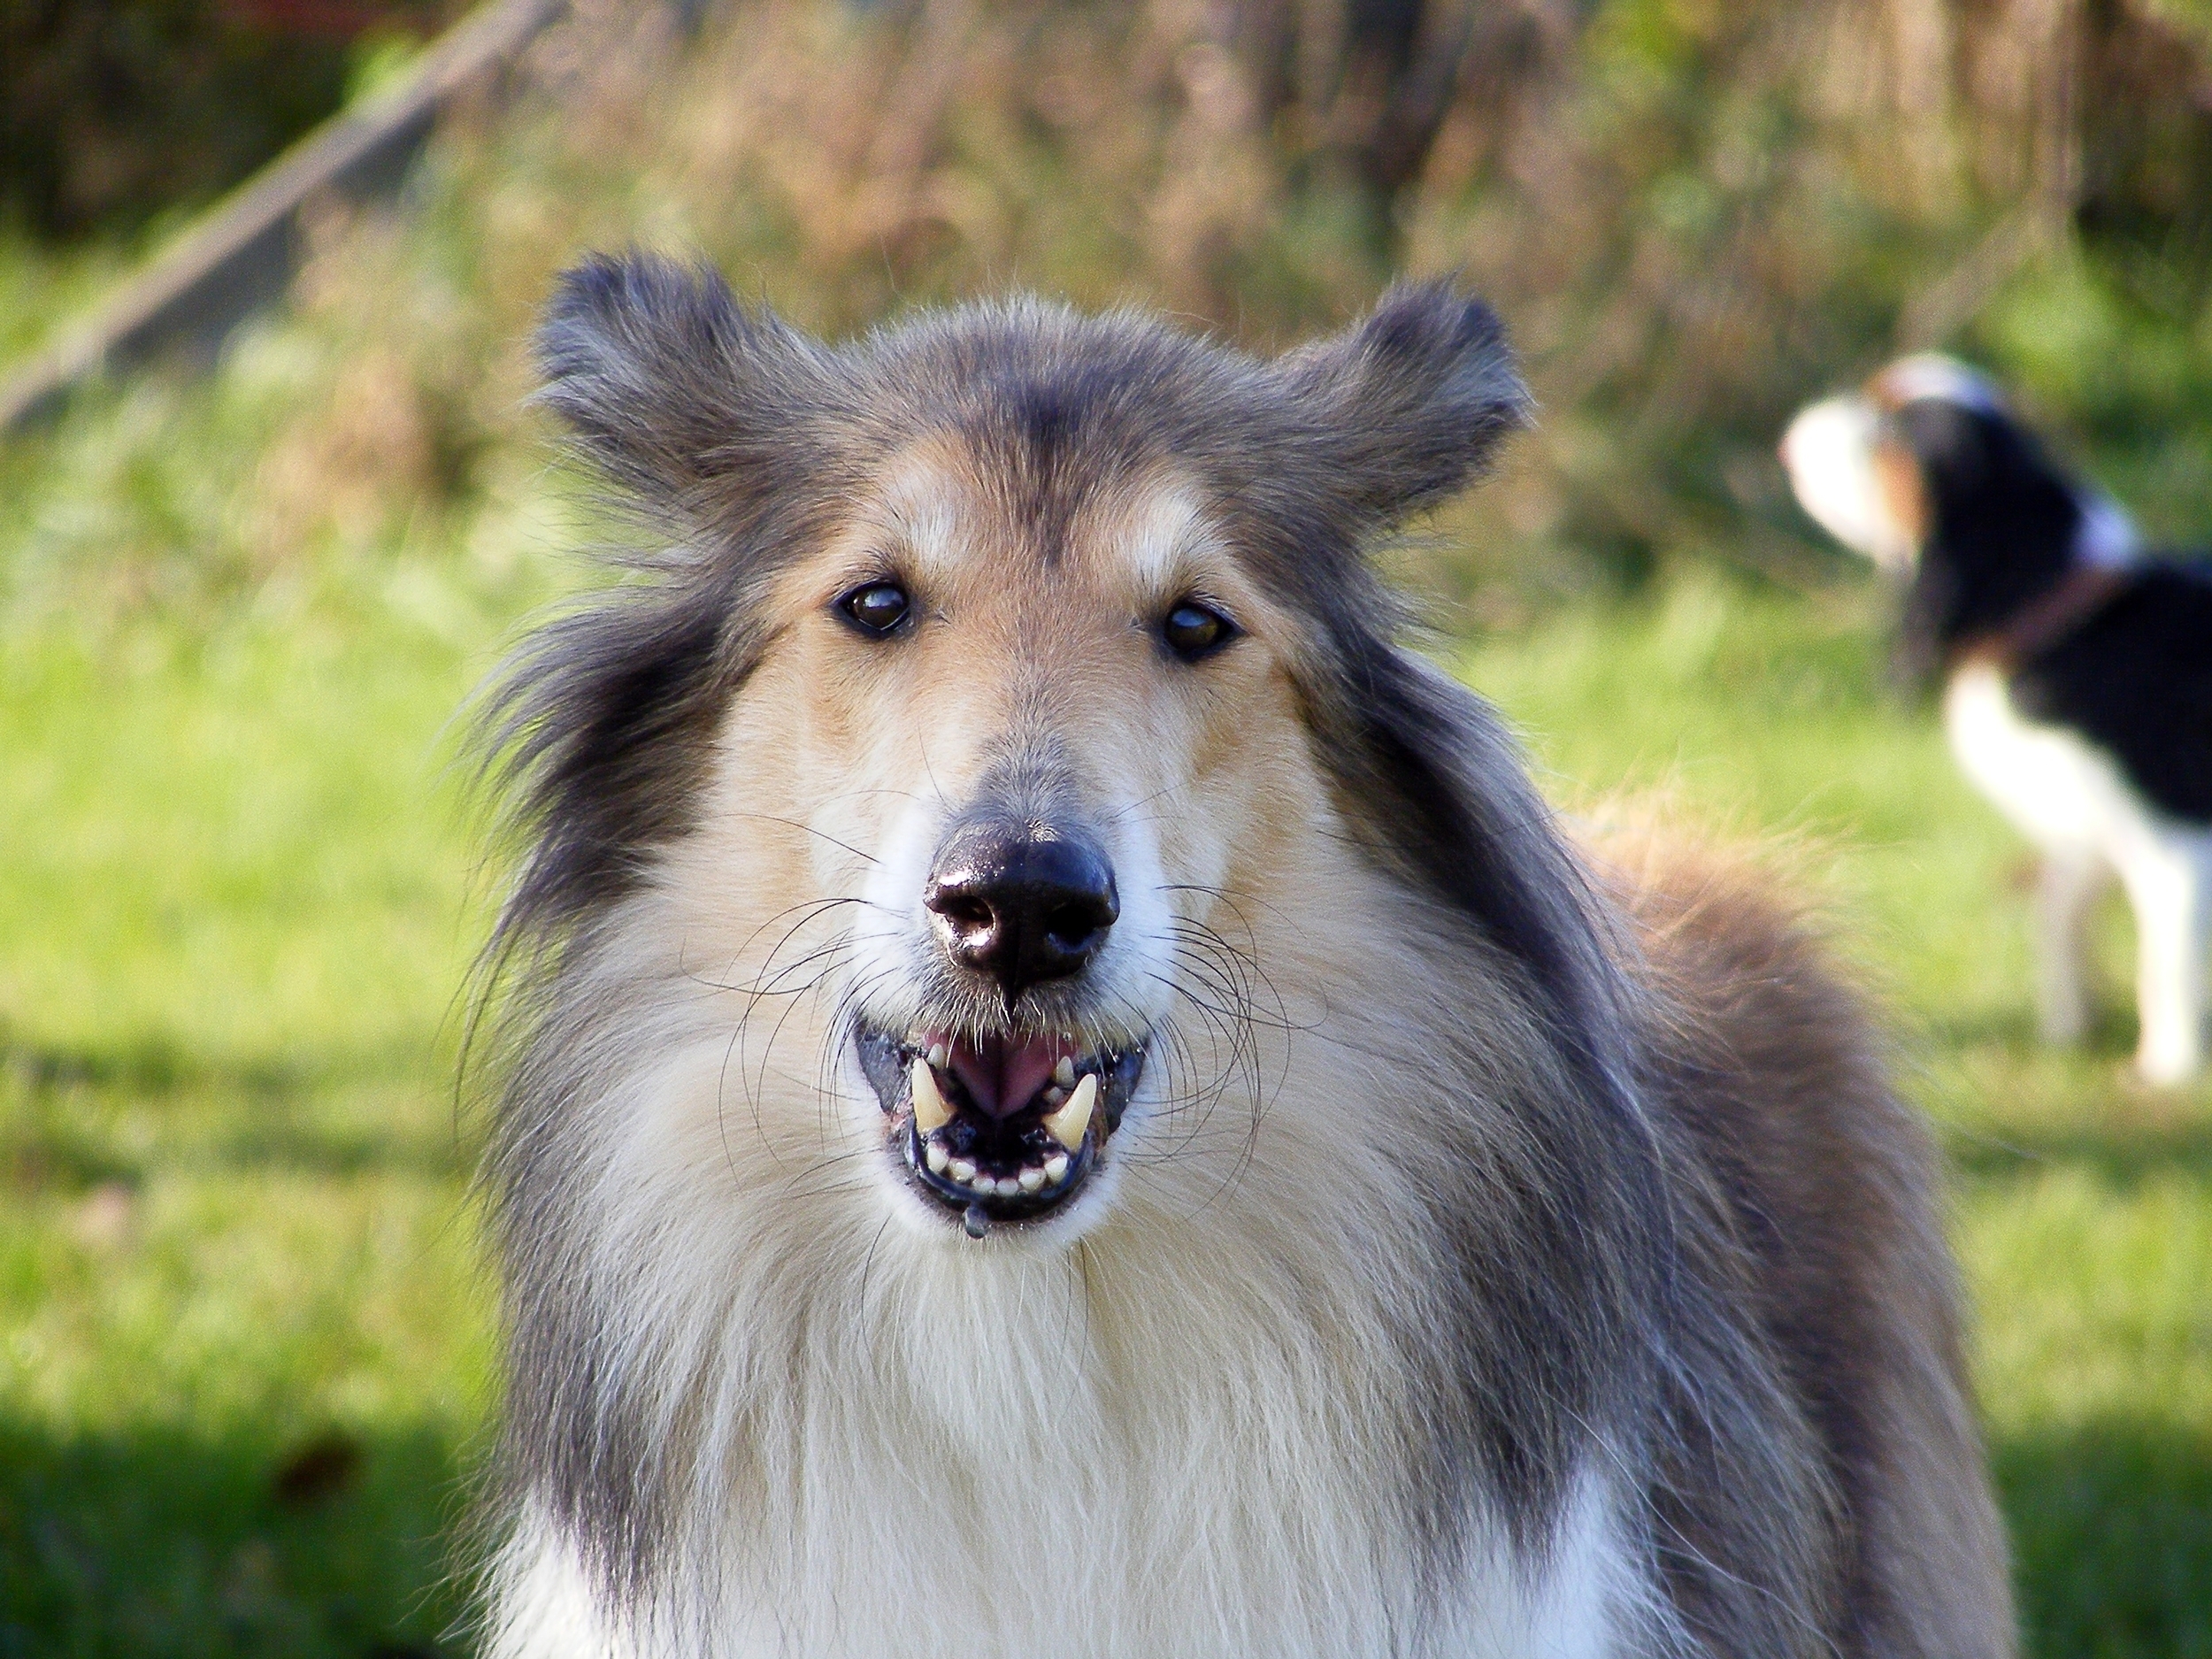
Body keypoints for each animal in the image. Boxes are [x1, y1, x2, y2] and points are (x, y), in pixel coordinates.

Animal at [1778, 360, 2212, 1093]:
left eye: (1887, 427)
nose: (1788, 436)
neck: (2054, 610)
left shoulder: (2176, 846)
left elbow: (2166, 963)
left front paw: (2166, 1072)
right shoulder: (2085, 828)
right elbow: (2058, 917)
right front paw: (2068, 1028)